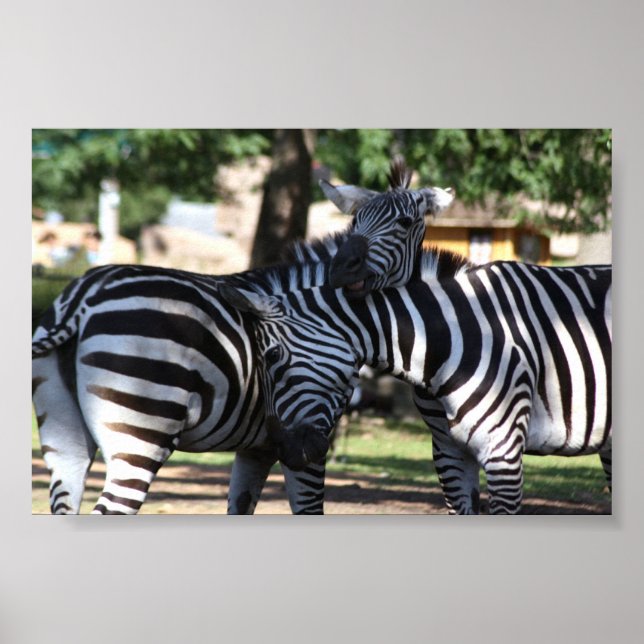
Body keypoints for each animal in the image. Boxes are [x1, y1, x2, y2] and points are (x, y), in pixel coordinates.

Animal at [32, 163, 454, 515]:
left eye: (404, 222)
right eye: (354, 222)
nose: (342, 270)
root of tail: (82, 299)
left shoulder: (259, 447)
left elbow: (241, 504)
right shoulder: (306, 439)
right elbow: (308, 508)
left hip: (63, 440)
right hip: (141, 432)